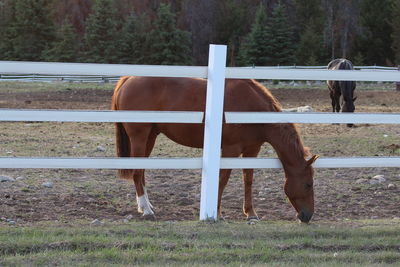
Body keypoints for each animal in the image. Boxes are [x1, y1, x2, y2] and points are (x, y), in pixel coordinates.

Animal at [111, 77, 318, 224]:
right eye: (308, 184)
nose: (307, 216)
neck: (251, 109)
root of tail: (128, 79)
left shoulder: (252, 150)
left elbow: (248, 180)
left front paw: (251, 213)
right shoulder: (230, 149)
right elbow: (223, 179)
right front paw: (216, 212)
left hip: (151, 137)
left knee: (142, 172)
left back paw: (146, 205)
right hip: (139, 137)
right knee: (137, 172)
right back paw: (146, 210)